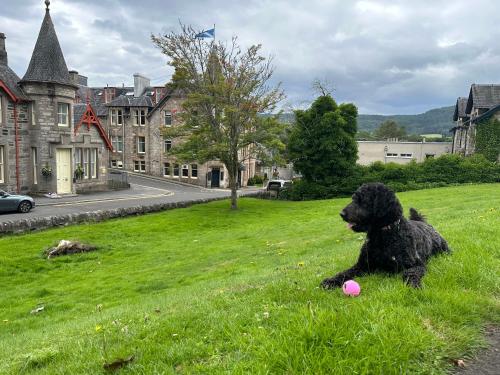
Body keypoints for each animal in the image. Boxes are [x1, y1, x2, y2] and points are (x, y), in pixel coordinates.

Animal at [322, 184, 452, 290]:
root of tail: (422, 222)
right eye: (353, 199)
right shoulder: (362, 266)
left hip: (443, 249)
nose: (341, 214)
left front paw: (414, 284)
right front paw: (331, 281)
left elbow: (410, 273)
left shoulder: (416, 265)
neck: (382, 236)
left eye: (362, 200)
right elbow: (345, 273)